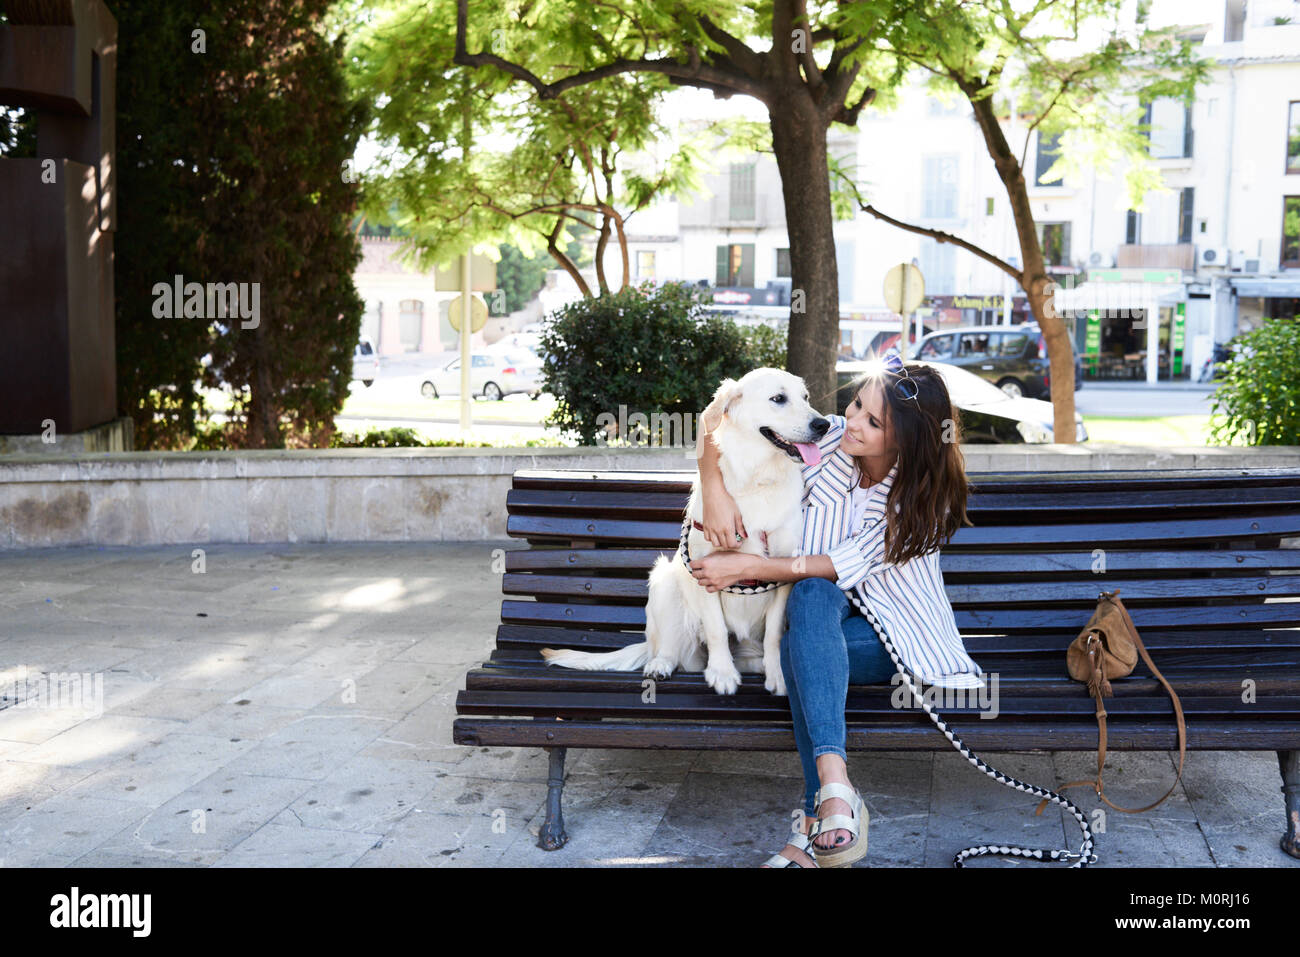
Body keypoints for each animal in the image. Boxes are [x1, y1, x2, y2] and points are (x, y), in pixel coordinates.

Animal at [540, 369, 826, 696]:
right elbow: (715, 628)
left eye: (805, 397)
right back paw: (660, 665)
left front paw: (778, 673)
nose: (824, 425)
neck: (758, 479)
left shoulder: (785, 568)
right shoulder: (704, 568)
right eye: (778, 398)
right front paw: (722, 672)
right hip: (665, 582)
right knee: (669, 649)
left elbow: (775, 633)